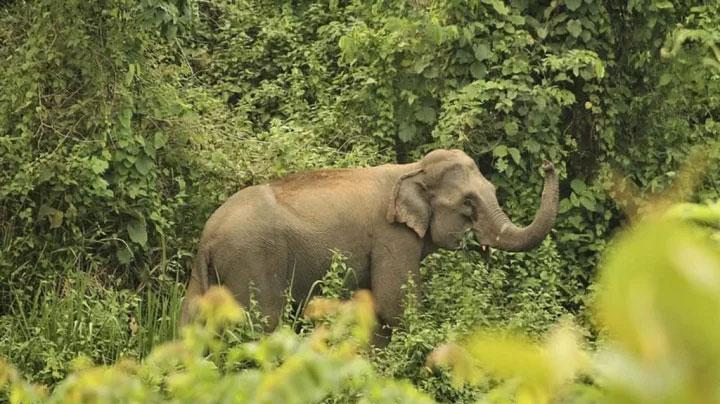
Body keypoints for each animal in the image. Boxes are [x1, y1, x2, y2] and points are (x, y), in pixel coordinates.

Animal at [179, 148, 556, 338]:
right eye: (468, 203)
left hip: (203, 274)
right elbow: (395, 307)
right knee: (262, 326)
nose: (548, 164)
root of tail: (209, 237)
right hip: (254, 261)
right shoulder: (393, 237)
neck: (412, 168)